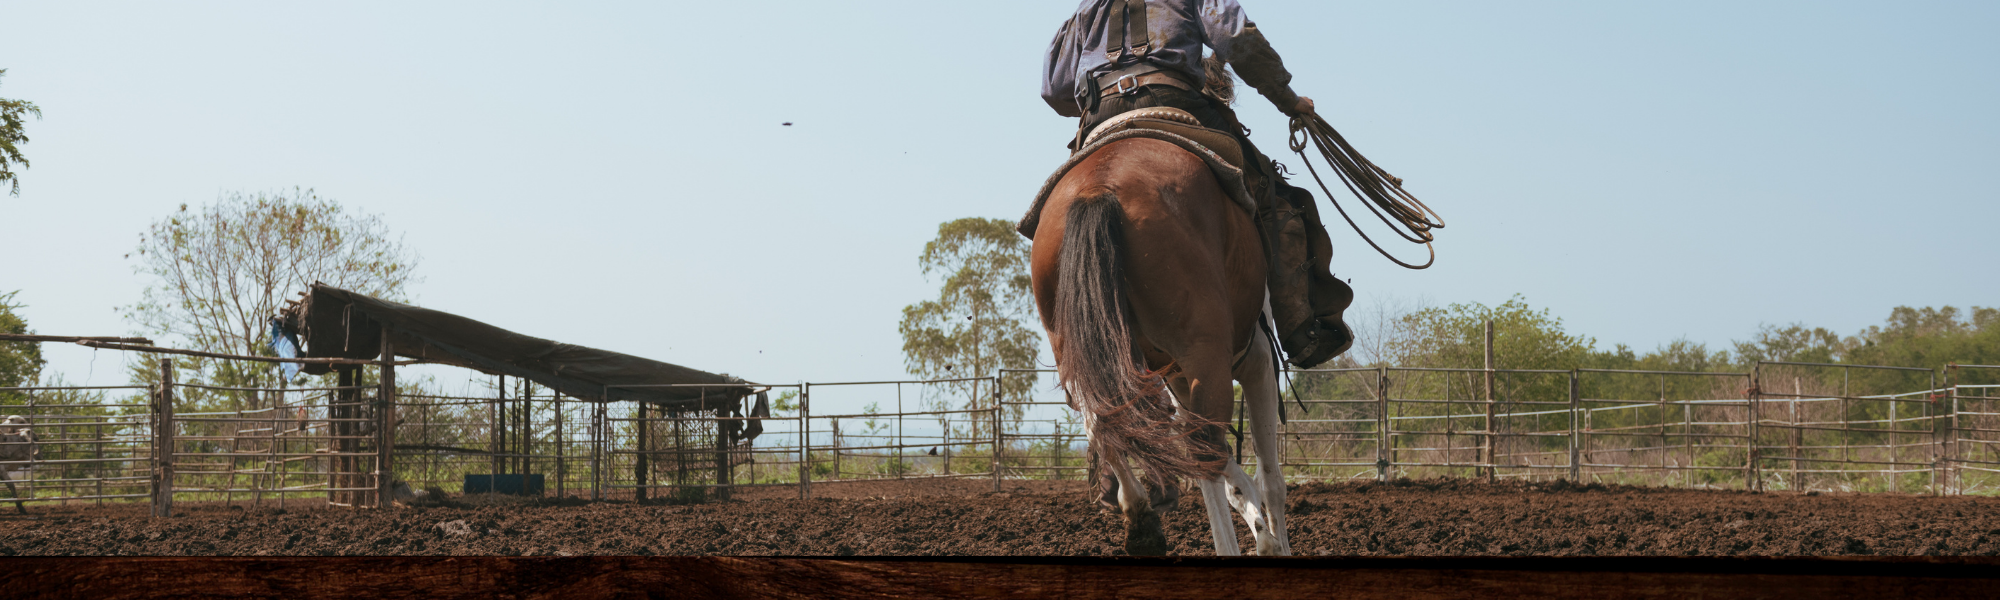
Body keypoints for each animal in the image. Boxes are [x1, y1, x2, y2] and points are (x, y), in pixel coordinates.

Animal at [1032, 137, 1296, 556]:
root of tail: (1097, 188)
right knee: (1204, 452)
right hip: (1207, 357)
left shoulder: (1180, 381)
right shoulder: (1257, 362)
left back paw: (1141, 520)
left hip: (1084, 355)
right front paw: (1272, 539)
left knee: (1105, 420)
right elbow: (1269, 480)